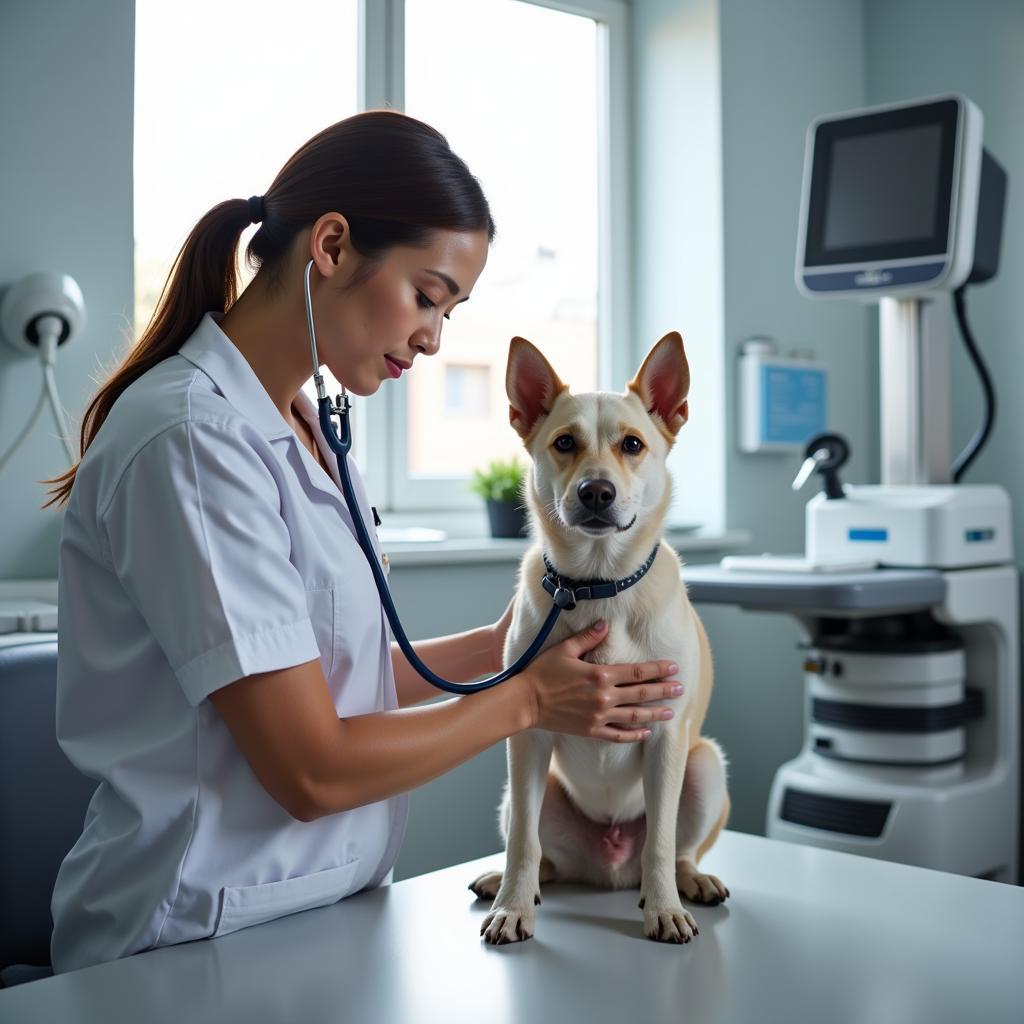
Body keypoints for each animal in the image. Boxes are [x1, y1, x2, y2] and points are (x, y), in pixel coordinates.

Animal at [471, 333, 729, 942]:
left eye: (633, 444)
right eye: (565, 442)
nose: (595, 491)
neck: (597, 584)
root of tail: (609, 869)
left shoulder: (666, 738)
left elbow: (661, 841)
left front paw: (663, 909)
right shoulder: (529, 736)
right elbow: (523, 844)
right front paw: (513, 907)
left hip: (704, 766)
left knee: (676, 851)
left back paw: (688, 883)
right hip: (523, 790)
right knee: (542, 854)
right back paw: (511, 883)